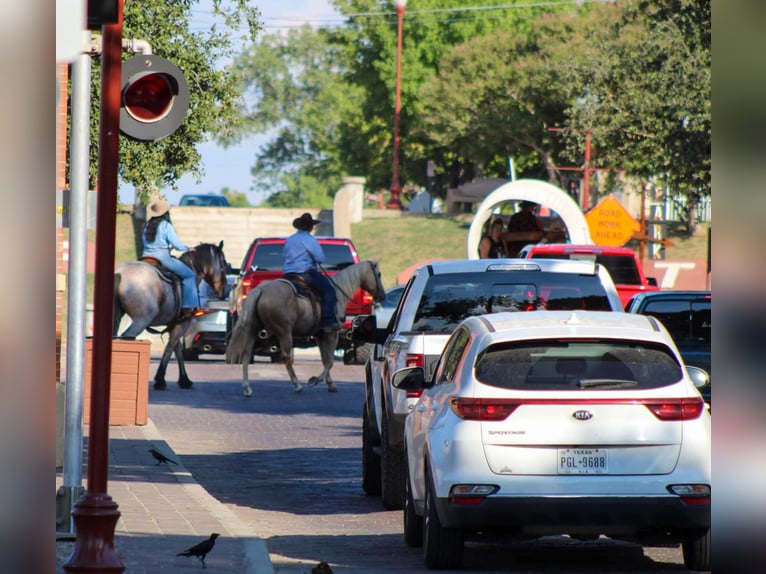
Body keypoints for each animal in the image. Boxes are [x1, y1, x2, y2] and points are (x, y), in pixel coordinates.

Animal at [112, 238, 230, 392]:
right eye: (223, 265)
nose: (224, 292)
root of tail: (120, 272)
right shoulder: (183, 323)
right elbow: (170, 347)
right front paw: (161, 379)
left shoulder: (175, 323)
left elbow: (177, 349)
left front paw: (184, 379)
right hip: (140, 320)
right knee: (126, 338)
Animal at [226, 260, 388, 398]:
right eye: (379, 274)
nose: (383, 296)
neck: (338, 292)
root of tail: (260, 289)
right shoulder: (331, 333)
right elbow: (329, 361)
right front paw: (315, 380)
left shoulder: (319, 335)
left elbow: (324, 358)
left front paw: (330, 384)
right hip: (284, 332)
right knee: (286, 357)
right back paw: (297, 385)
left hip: (253, 329)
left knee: (246, 354)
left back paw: (247, 388)